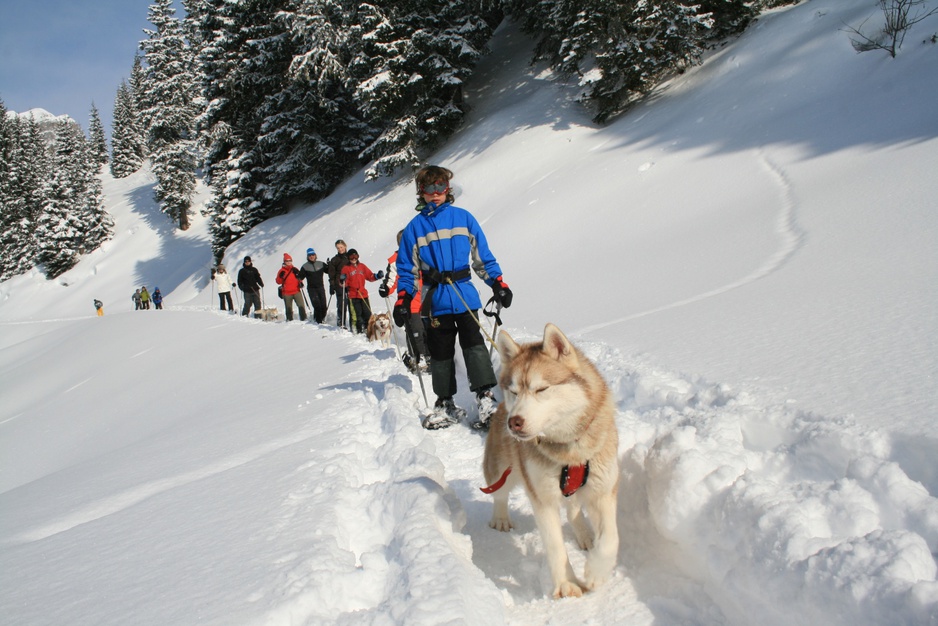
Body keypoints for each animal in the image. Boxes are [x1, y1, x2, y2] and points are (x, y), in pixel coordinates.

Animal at [478, 324, 616, 596]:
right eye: (514, 392)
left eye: (541, 389)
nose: (514, 422)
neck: (569, 449)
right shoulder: (542, 497)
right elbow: (555, 546)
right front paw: (567, 583)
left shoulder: (603, 490)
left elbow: (610, 539)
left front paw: (596, 572)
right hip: (500, 468)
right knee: (499, 493)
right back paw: (501, 518)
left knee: (573, 508)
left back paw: (584, 534)